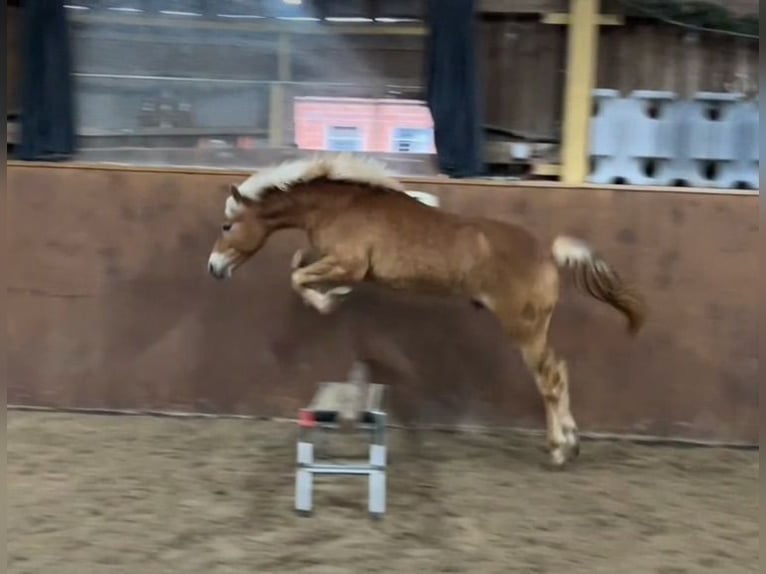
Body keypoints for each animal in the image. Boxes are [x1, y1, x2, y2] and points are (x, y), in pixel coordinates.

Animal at [210, 155, 648, 470]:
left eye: (227, 226)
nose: (214, 268)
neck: (339, 207)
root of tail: (548, 253)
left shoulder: (348, 262)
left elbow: (299, 276)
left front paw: (328, 300)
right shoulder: (334, 260)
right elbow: (300, 265)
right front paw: (336, 294)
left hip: (525, 330)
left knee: (551, 380)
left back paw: (560, 449)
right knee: (559, 374)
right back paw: (569, 445)